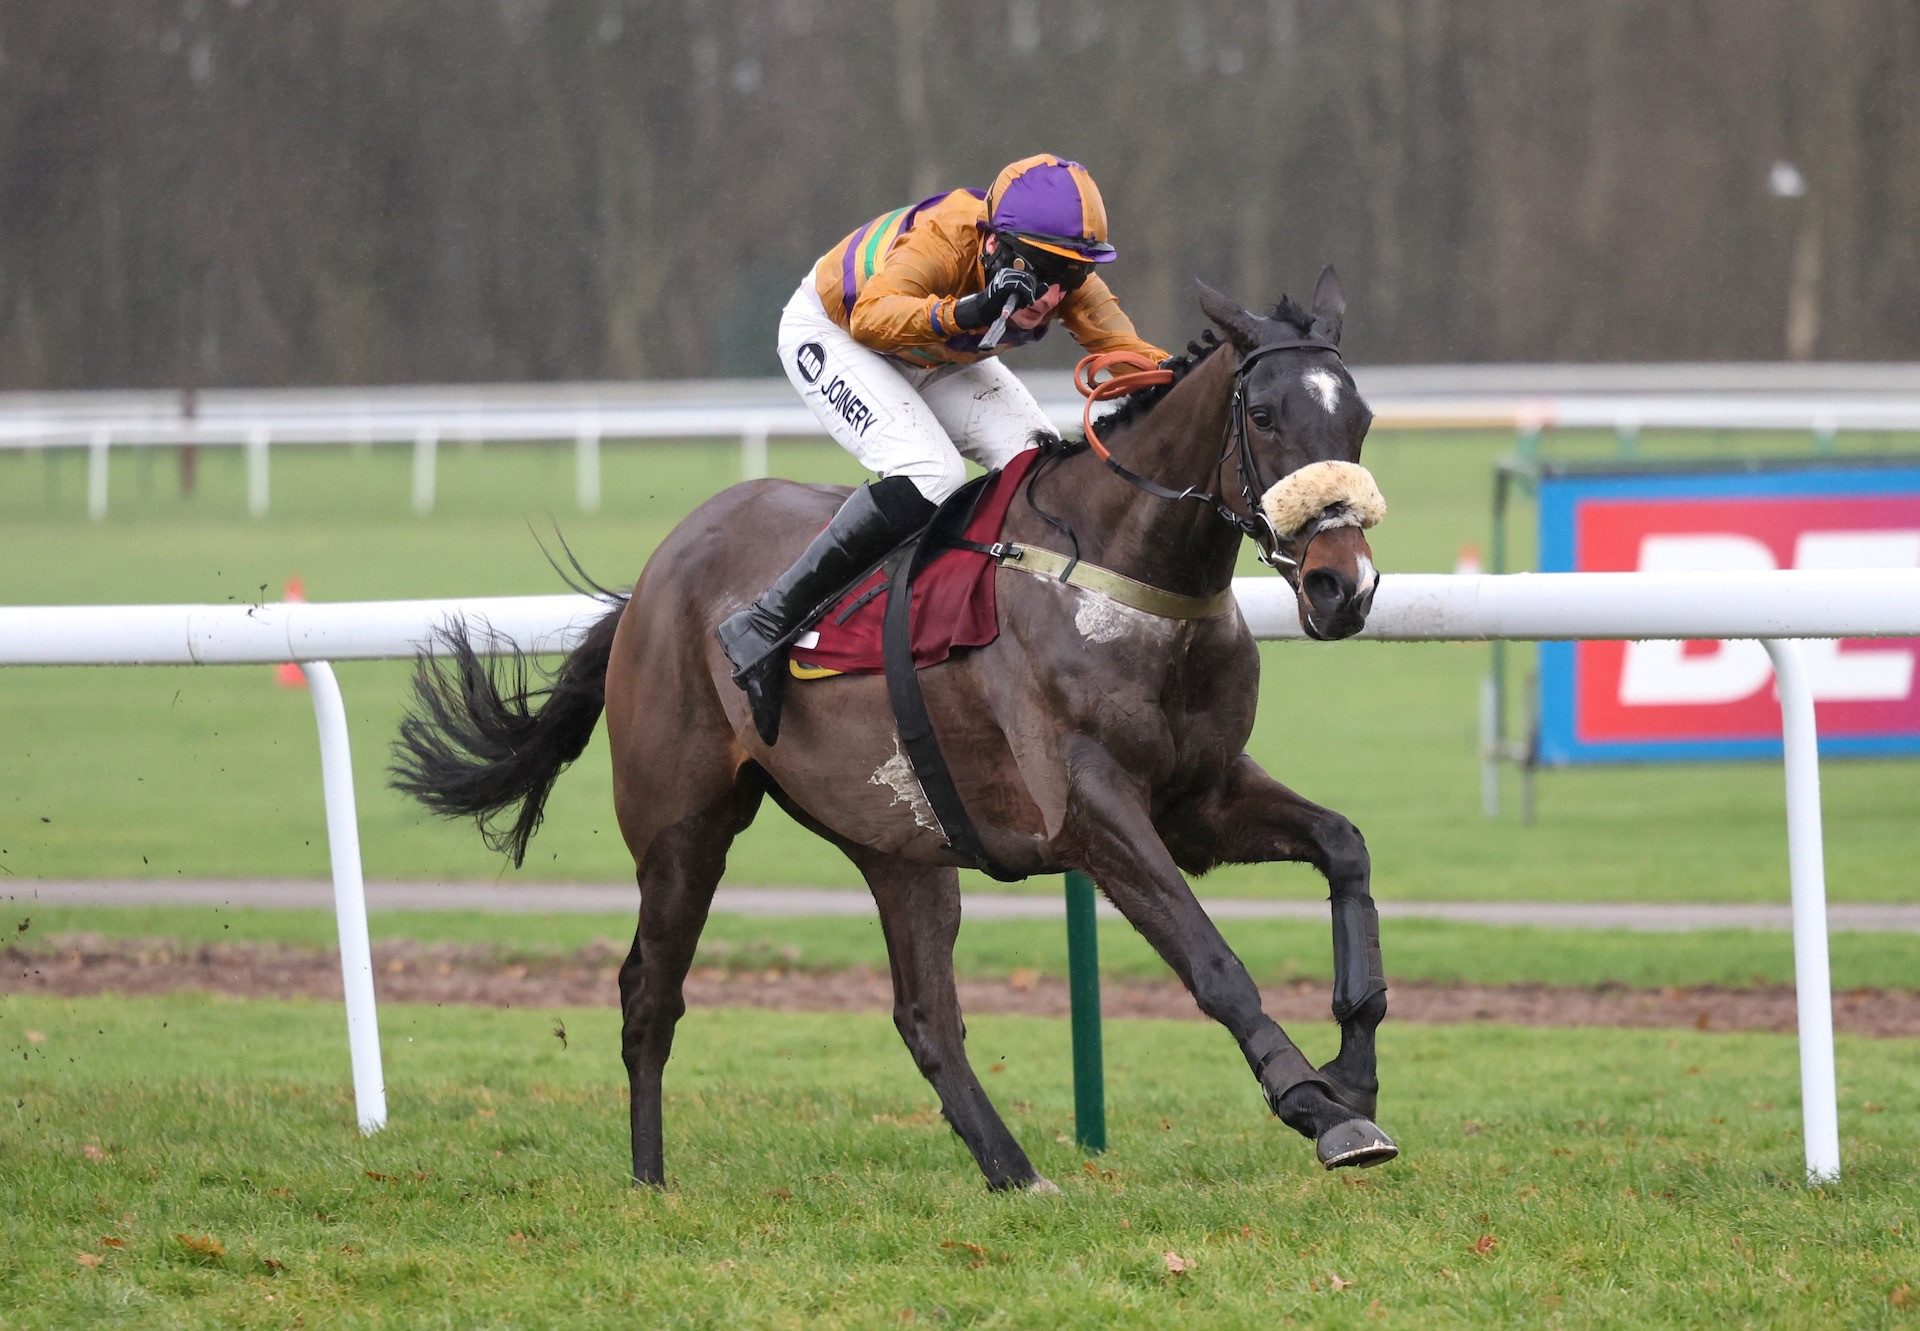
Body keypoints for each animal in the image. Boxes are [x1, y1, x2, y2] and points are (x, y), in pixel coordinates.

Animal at [397, 266, 1405, 1183]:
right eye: (1264, 415)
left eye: (1358, 417)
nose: (1341, 586)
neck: (1122, 572)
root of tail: (648, 582)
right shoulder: (1090, 807)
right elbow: (1212, 959)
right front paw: (1317, 1107)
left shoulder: (1201, 794)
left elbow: (1345, 846)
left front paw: (1354, 1073)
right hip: (682, 825)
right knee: (651, 992)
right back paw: (650, 1180)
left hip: (900, 839)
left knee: (925, 1016)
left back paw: (1018, 1174)